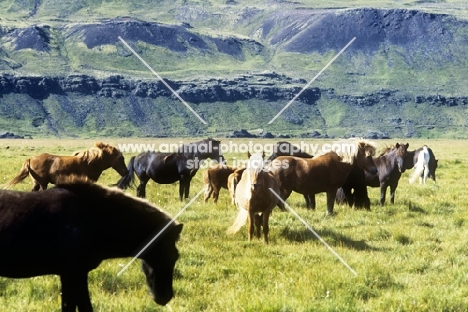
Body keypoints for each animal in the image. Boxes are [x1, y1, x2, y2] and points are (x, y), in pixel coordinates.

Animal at [0, 183, 183, 312]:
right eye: (159, 254)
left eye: (175, 257)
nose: (164, 297)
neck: (91, 217)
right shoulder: (74, 273)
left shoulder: (70, 275)